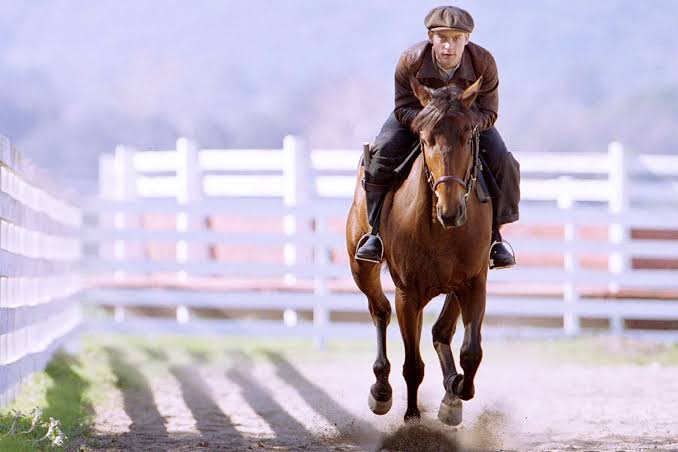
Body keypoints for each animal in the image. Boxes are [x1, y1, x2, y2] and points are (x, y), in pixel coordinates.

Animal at [345, 78, 492, 426]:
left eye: (468, 135)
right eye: (425, 139)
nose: (450, 210)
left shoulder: (474, 282)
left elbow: (471, 351)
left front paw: (458, 388)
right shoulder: (408, 294)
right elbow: (412, 364)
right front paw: (412, 417)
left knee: (441, 331)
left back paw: (451, 391)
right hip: (363, 270)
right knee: (380, 311)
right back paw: (381, 389)